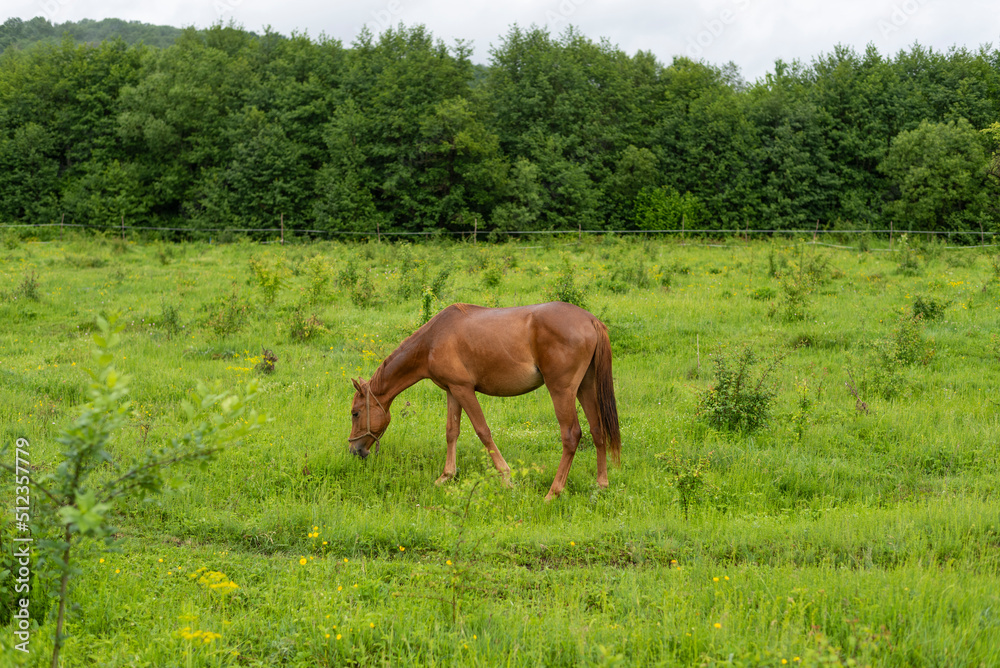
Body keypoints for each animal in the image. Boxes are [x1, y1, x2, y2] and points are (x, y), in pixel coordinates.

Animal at [348, 300, 620, 498]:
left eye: (355, 413)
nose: (354, 450)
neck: (433, 340)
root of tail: (590, 320)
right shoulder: (452, 391)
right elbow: (451, 431)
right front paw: (446, 476)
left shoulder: (464, 390)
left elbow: (483, 431)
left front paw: (507, 478)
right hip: (586, 387)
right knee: (597, 430)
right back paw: (601, 484)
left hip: (562, 391)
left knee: (571, 435)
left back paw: (553, 493)